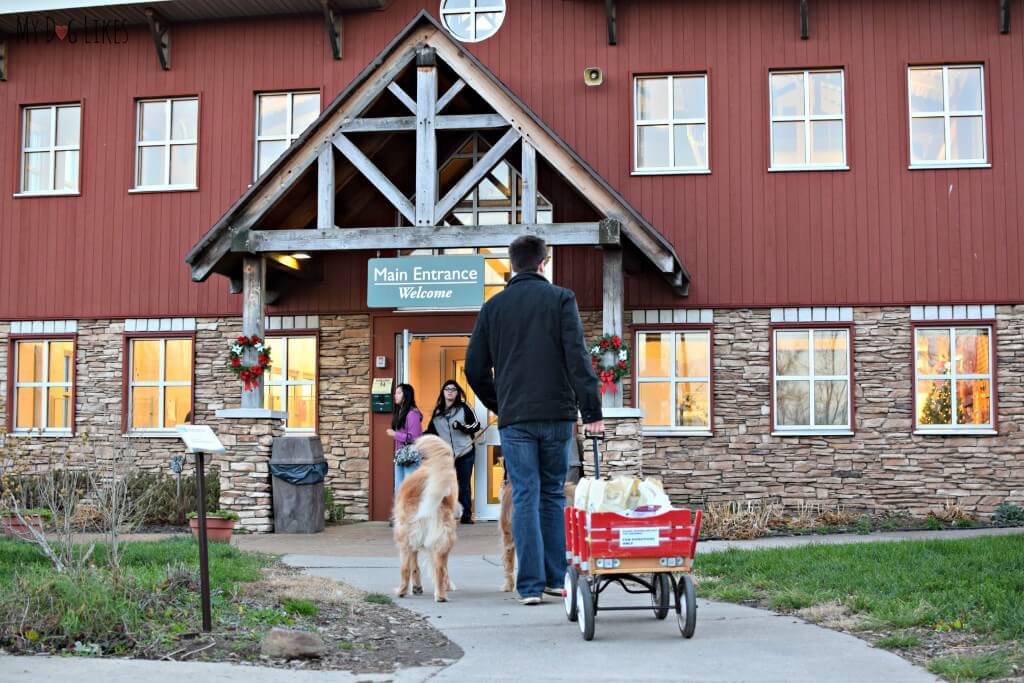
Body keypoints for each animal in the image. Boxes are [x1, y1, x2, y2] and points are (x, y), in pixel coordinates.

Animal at [391, 436, 460, 602]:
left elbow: (414, 565)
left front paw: (416, 587)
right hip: (444, 536)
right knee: (441, 567)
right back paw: (441, 595)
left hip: (403, 535)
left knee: (404, 569)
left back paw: (401, 592)